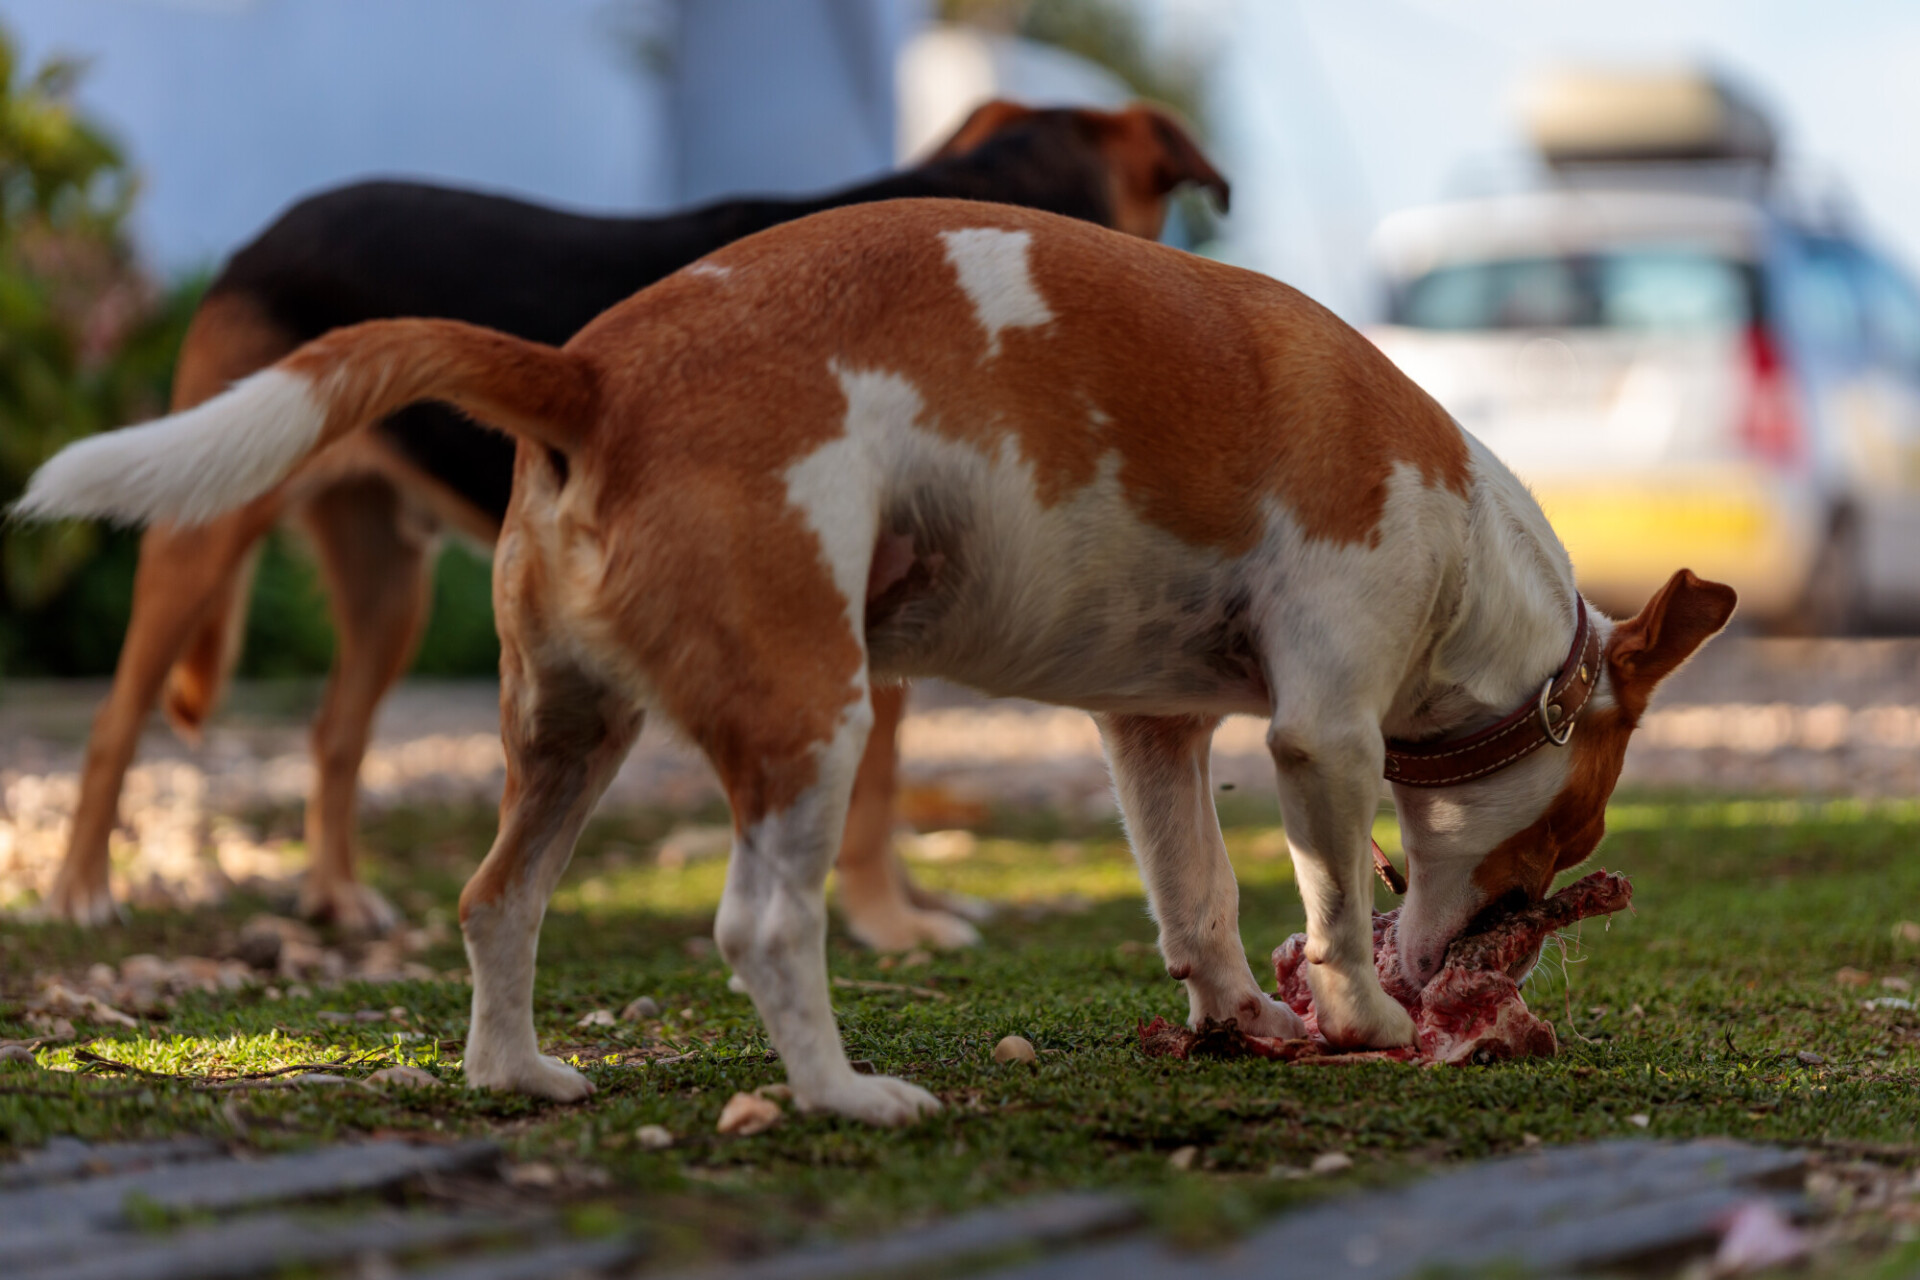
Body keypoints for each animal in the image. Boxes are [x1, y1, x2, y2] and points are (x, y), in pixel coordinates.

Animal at [18, 197, 1728, 1120]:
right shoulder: (1318, 737)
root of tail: (589, 374)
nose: (1464, 970)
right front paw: (1364, 1015)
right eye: (1558, 847)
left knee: (498, 898)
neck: (1470, 570)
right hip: (811, 720)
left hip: (572, 735)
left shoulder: (1153, 732)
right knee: (763, 925)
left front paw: (1243, 1014)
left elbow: (1195, 900)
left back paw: (517, 1076)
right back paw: (841, 1094)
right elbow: (1311, 886)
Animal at [41, 100, 1228, 948]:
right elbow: (874, 794)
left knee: (335, 735)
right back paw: (82, 891)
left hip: (392, 582)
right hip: (202, 527)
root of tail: (264, 230)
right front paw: (892, 924)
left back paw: (337, 897)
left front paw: (902, 908)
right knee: (112, 721)